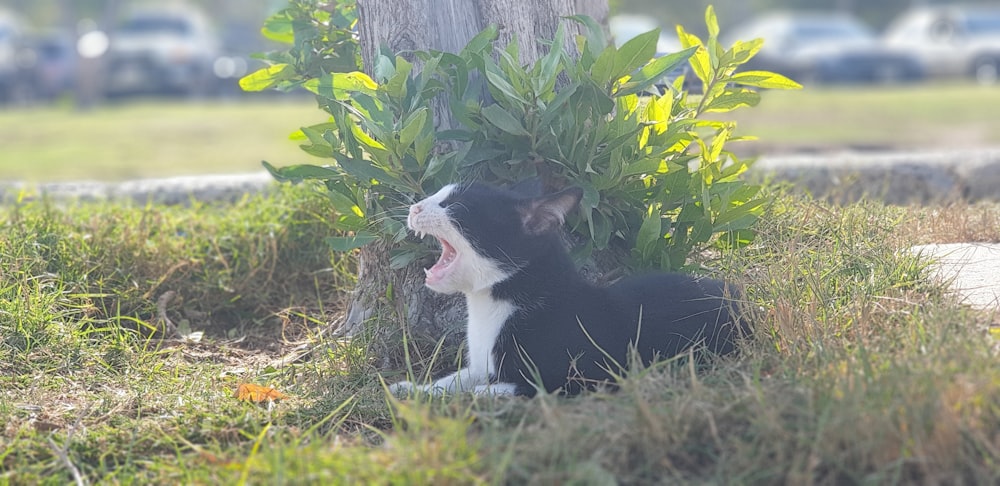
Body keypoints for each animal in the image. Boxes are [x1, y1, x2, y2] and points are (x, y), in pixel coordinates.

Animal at [386, 180, 748, 396]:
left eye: (454, 207)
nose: (415, 207)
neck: (493, 305)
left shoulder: (592, 374)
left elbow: (521, 387)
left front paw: (483, 396)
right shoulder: (480, 366)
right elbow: (454, 379)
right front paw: (414, 389)